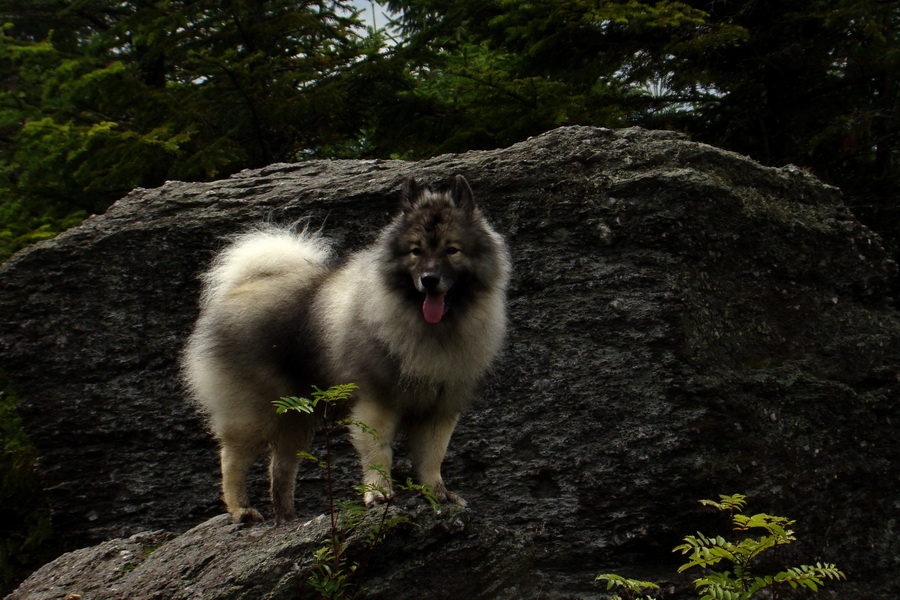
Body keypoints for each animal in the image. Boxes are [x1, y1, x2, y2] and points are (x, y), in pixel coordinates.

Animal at [181, 173, 512, 520]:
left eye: (452, 250)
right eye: (415, 251)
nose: (430, 279)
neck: (431, 328)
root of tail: (243, 286)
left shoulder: (440, 408)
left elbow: (432, 458)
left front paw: (437, 493)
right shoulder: (377, 402)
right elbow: (379, 453)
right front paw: (379, 494)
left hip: (296, 417)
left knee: (281, 468)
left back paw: (287, 518)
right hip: (254, 413)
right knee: (232, 460)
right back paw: (241, 510)